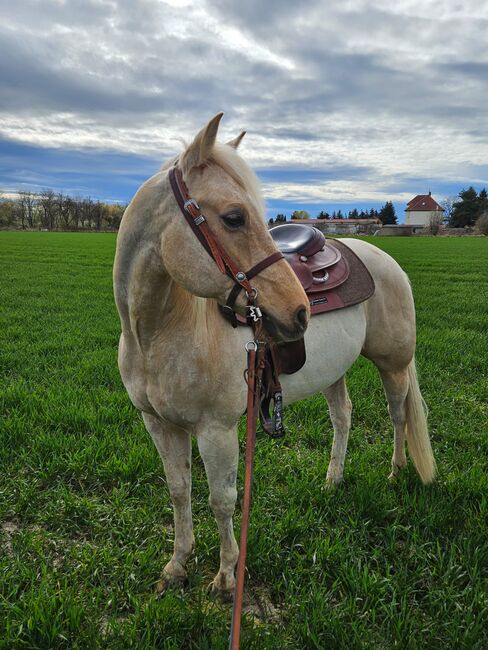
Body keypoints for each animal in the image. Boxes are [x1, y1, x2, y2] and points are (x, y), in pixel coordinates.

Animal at [113, 111, 434, 596]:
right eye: (233, 217)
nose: (299, 310)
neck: (159, 334)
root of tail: (382, 257)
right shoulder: (158, 424)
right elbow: (179, 491)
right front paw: (177, 564)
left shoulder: (217, 430)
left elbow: (222, 500)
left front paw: (227, 575)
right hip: (333, 371)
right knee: (343, 416)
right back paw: (333, 479)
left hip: (392, 365)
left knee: (397, 415)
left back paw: (396, 472)